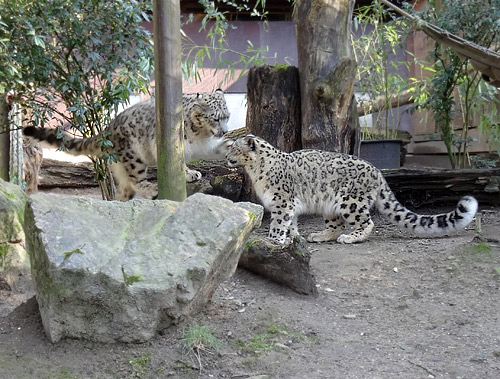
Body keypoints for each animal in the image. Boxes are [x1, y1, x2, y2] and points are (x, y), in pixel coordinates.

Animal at [24, 89, 231, 202]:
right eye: (215, 118)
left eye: (227, 116)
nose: (224, 131)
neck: (200, 135)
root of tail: (108, 130)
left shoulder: (203, 145)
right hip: (133, 157)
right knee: (135, 180)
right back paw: (151, 189)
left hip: (119, 168)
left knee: (123, 190)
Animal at [226, 135, 476, 245]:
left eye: (235, 149)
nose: (227, 157)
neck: (254, 172)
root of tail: (376, 170)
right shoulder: (288, 205)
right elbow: (292, 223)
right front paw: (294, 237)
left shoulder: (282, 202)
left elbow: (279, 223)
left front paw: (274, 239)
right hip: (330, 206)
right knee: (335, 225)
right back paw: (319, 236)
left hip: (351, 201)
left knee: (367, 222)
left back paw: (350, 238)